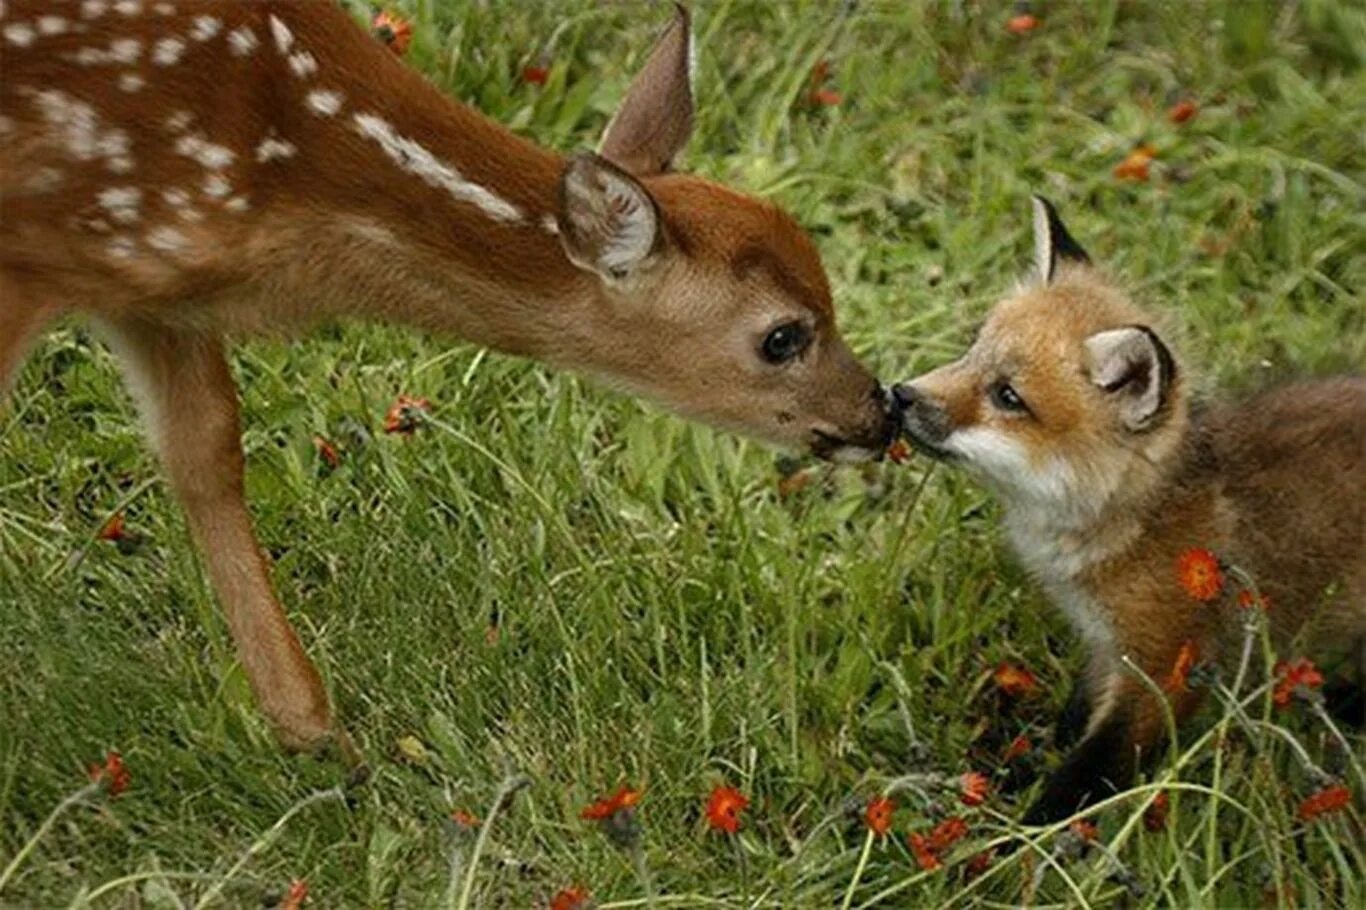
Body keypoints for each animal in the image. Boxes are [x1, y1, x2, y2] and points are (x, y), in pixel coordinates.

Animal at [890, 198, 1360, 819]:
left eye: (1008, 396)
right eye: (972, 349)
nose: (898, 395)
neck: (1136, 523)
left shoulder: (1165, 667)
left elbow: (1090, 769)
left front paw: (1028, 835)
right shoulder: (1103, 648)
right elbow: (1068, 728)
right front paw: (1016, 777)